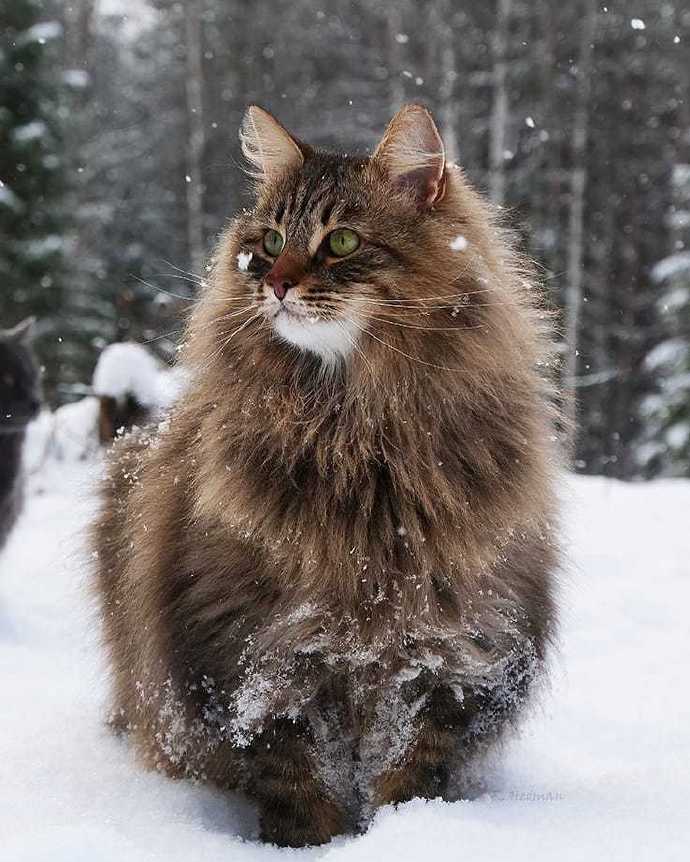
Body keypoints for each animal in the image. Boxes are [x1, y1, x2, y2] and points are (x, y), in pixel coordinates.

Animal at [92, 104, 560, 848]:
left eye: (340, 241)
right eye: (270, 239)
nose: (275, 282)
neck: (357, 434)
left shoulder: (451, 654)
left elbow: (415, 773)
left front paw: (409, 833)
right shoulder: (254, 652)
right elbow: (290, 773)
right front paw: (306, 844)